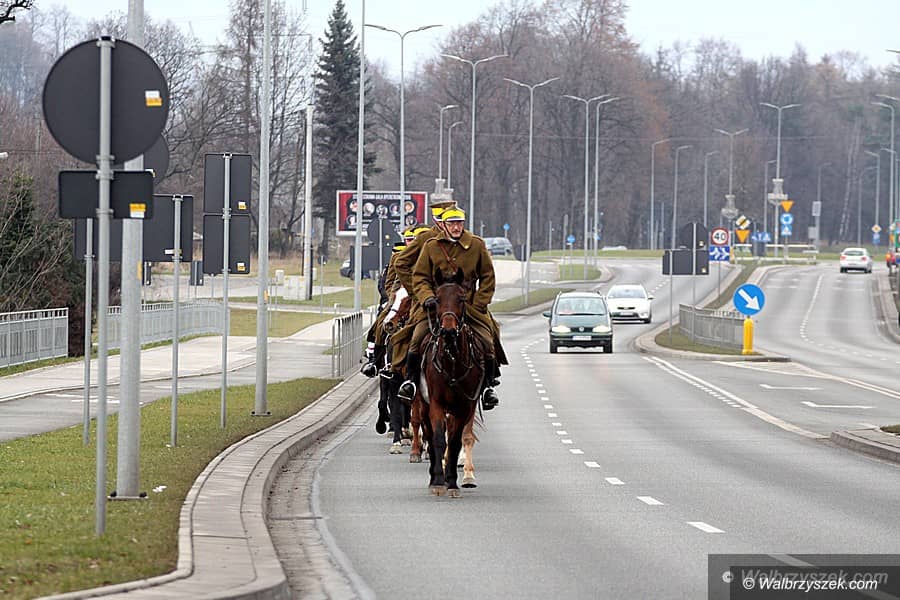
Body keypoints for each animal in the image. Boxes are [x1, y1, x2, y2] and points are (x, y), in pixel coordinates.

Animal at [415, 268, 486, 497]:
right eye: (436, 299)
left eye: (462, 299)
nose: (447, 331)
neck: (452, 362)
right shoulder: (437, 405)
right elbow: (439, 439)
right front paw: (439, 481)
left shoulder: (464, 407)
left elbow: (455, 442)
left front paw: (453, 481)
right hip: (423, 403)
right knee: (428, 433)